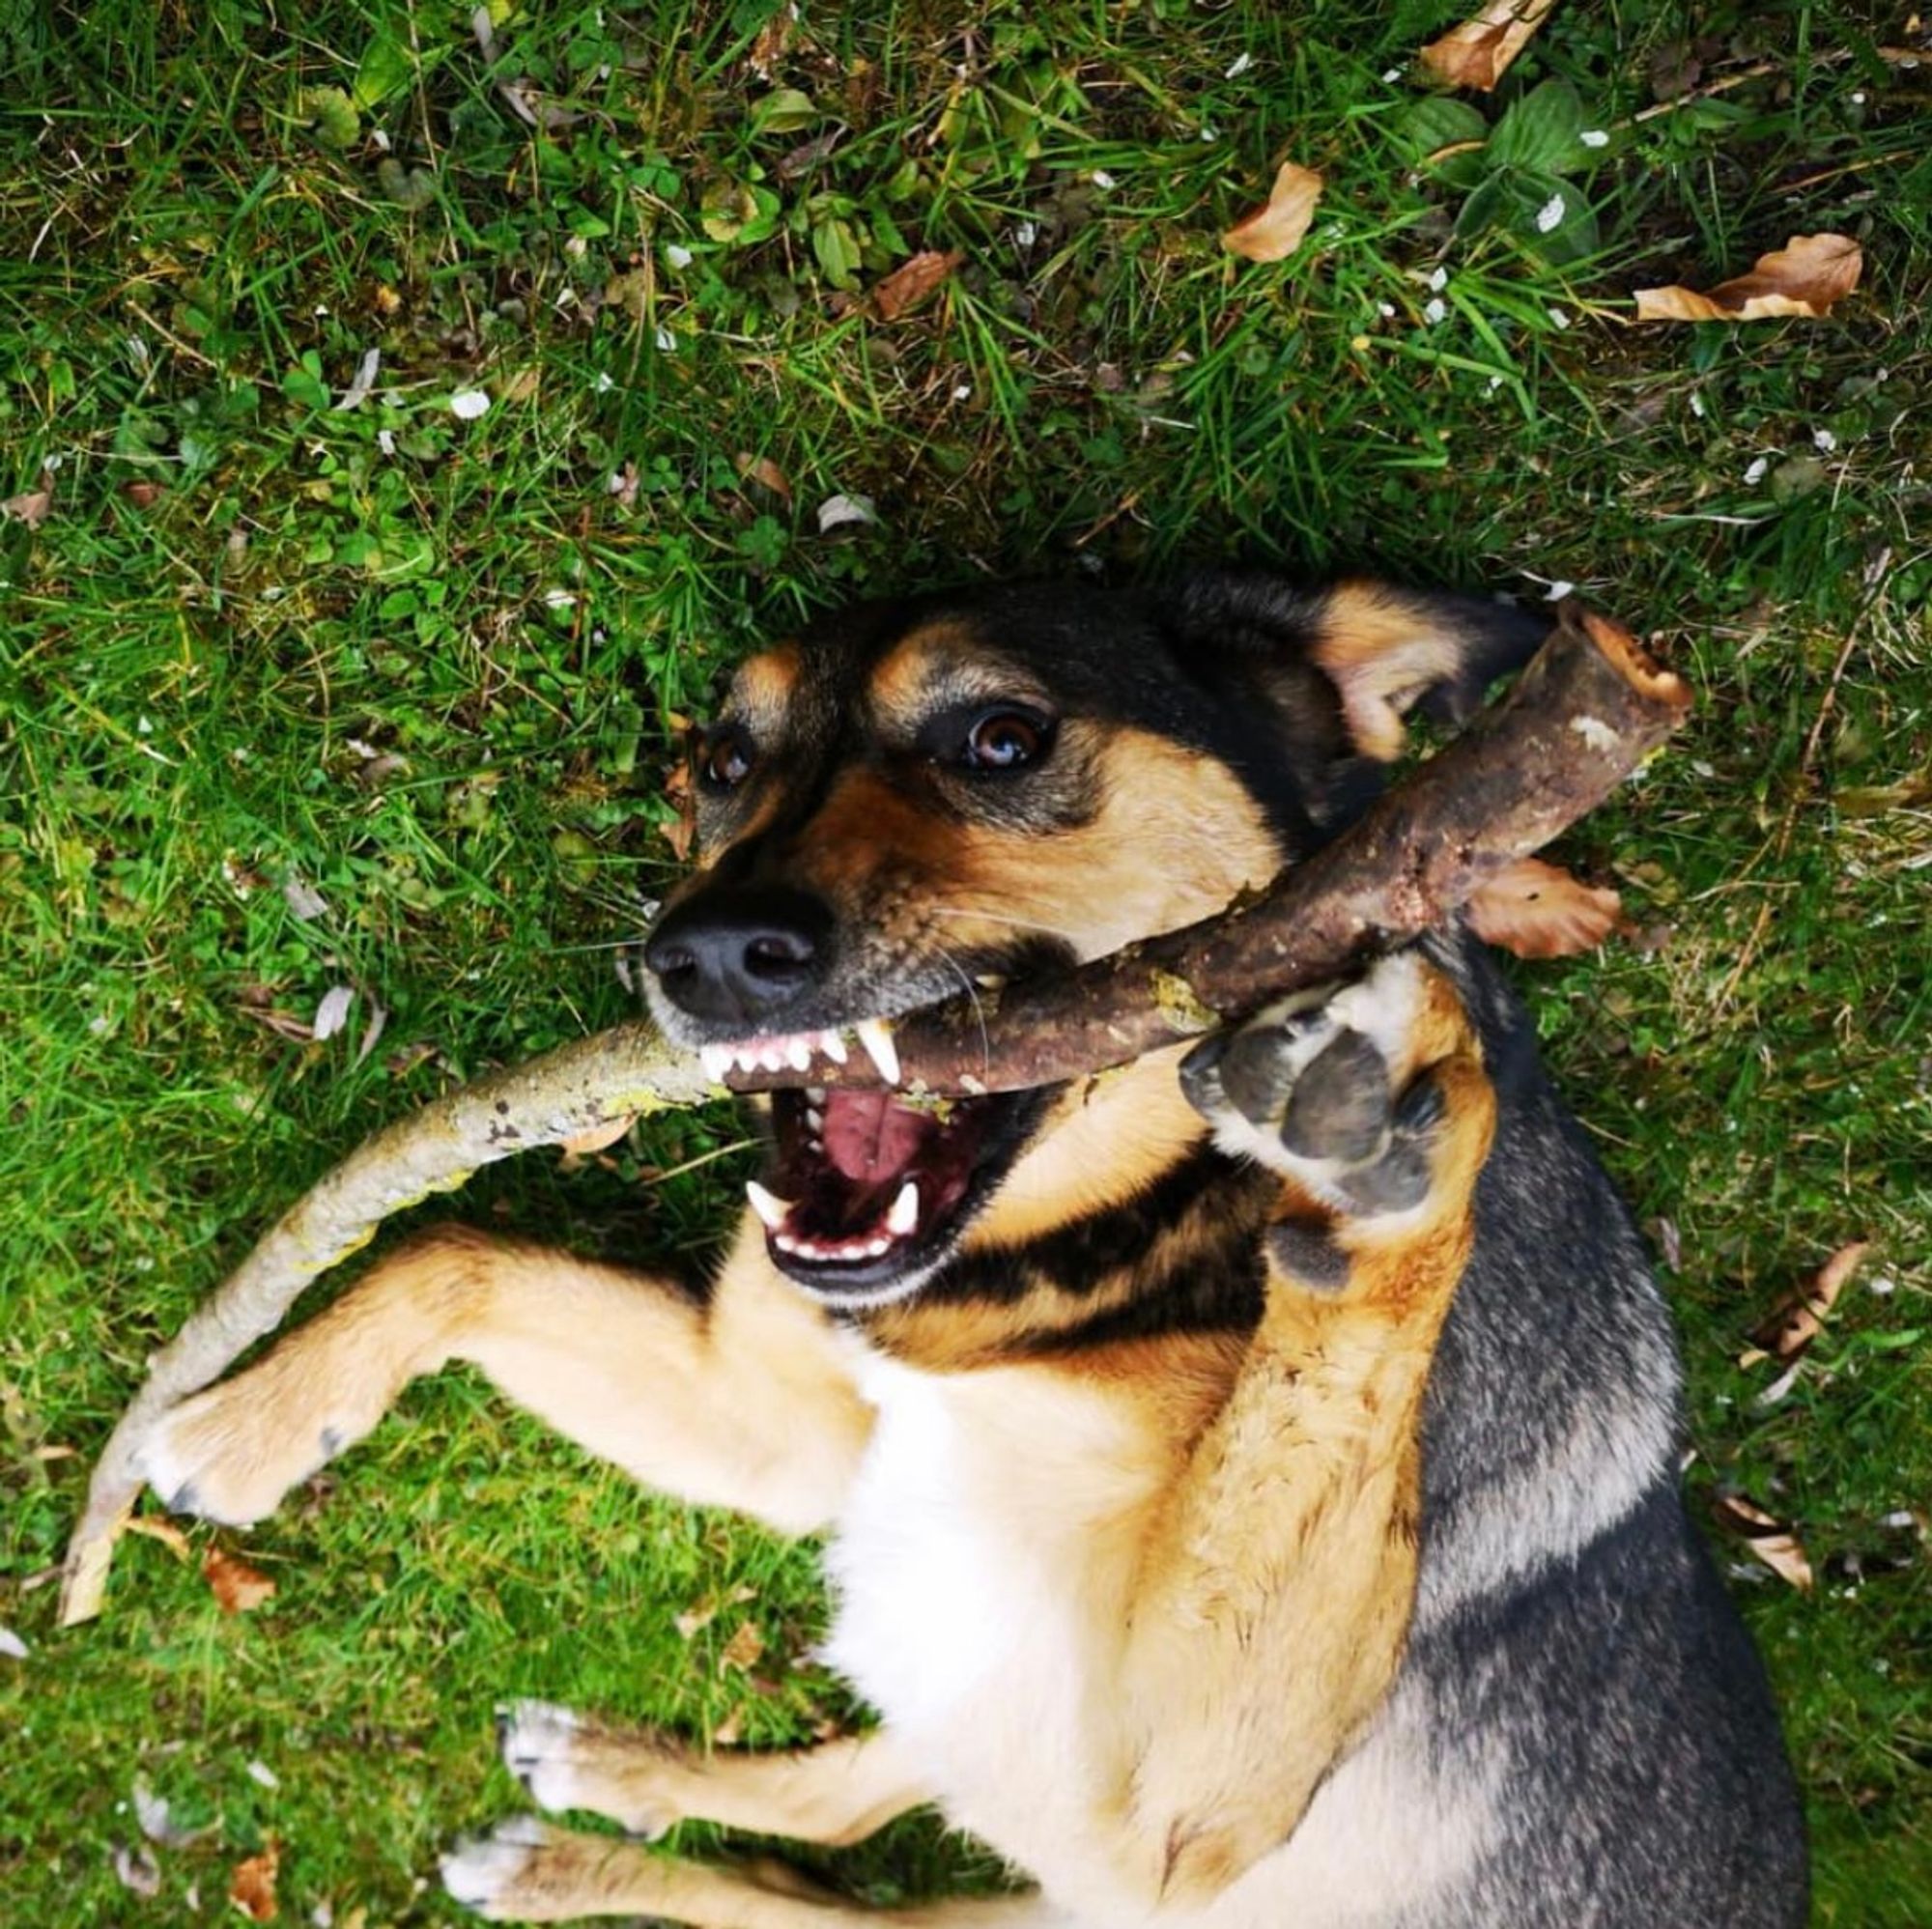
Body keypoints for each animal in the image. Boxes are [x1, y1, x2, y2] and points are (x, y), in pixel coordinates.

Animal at [140, 576, 1808, 1929]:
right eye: (724, 761)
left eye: (1001, 739)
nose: (700, 957)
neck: (1095, 1254)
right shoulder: (790, 1429)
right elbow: (454, 1248)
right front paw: (252, 1420)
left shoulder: (1185, 1807)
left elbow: (1354, 1337)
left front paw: (1380, 1150)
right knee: (835, 1837)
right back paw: (590, 1813)